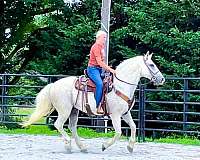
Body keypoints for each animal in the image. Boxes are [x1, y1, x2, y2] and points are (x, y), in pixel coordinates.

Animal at [22, 52, 165, 153]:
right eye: (152, 65)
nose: (162, 79)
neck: (120, 86)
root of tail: (53, 85)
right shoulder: (115, 115)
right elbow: (118, 132)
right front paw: (104, 146)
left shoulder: (125, 113)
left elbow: (134, 127)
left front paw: (130, 147)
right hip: (64, 110)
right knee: (59, 124)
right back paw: (68, 144)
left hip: (74, 110)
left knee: (72, 127)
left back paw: (82, 147)